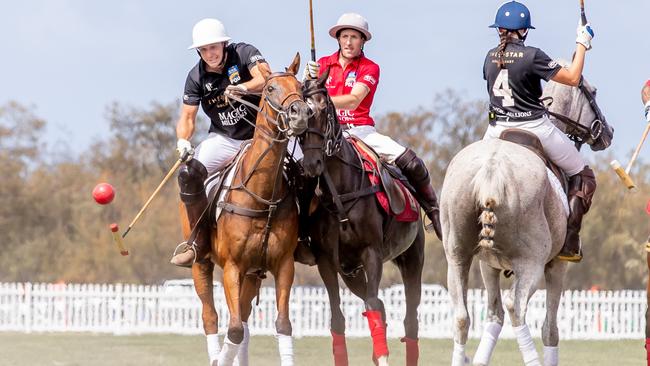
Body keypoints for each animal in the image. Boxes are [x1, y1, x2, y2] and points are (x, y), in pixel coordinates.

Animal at [187, 53, 308, 366]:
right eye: (270, 89)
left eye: (301, 88)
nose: (300, 114)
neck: (262, 196)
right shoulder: (232, 266)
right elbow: (233, 329)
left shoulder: (283, 264)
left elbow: (282, 325)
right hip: (201, 263)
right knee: (211, 317)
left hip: (253, 274)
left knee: (243, 319)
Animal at [298, 71, 426, 366]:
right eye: (293, 114)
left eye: (323, 109)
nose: (311, 165)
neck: (341, 192)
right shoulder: (327, 261)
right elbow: (338, 319)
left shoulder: (372, 253)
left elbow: (372, 305)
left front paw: (383, 357)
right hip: (351, 273)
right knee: (382, 307)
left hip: (413, 258)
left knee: (409, 319)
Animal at [440, 76, 608, 364]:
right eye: (593, 92)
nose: (608, 133)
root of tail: (491, 170)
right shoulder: (557, 265)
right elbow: (550, 329)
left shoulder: (488, 264)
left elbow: (493, 316)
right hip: (532, 263)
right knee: (515, 307)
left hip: (457, 255)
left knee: (462, 317)